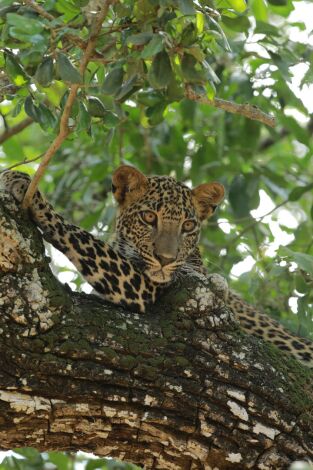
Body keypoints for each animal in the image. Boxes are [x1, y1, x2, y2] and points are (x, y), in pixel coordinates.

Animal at [0, 165, 312, 368]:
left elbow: (80, 236)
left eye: (188, 226)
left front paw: (25, 185)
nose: (166, 259)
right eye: (149, 217)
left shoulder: (151, 287)